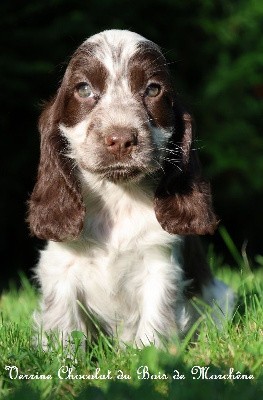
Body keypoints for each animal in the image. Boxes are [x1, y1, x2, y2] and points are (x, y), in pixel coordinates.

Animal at [28, 28, 235, 346]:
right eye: (83, 89)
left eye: (153, 90)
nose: (121, 139)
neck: (117, 196)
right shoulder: (60, 268)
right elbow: (63, 329)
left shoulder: (160, 268)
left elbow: (154, 326)